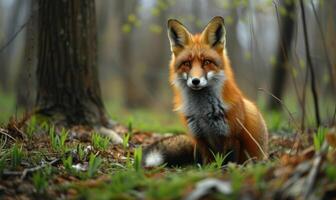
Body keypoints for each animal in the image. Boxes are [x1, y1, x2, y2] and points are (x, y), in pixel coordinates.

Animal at [143, 16, 270, 167]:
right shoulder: (199, 138)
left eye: (206, 62)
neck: (202, 113)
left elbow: (229, 161)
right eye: (187, 64)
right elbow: (202, 163)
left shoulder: (233, 137)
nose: (195, 81)